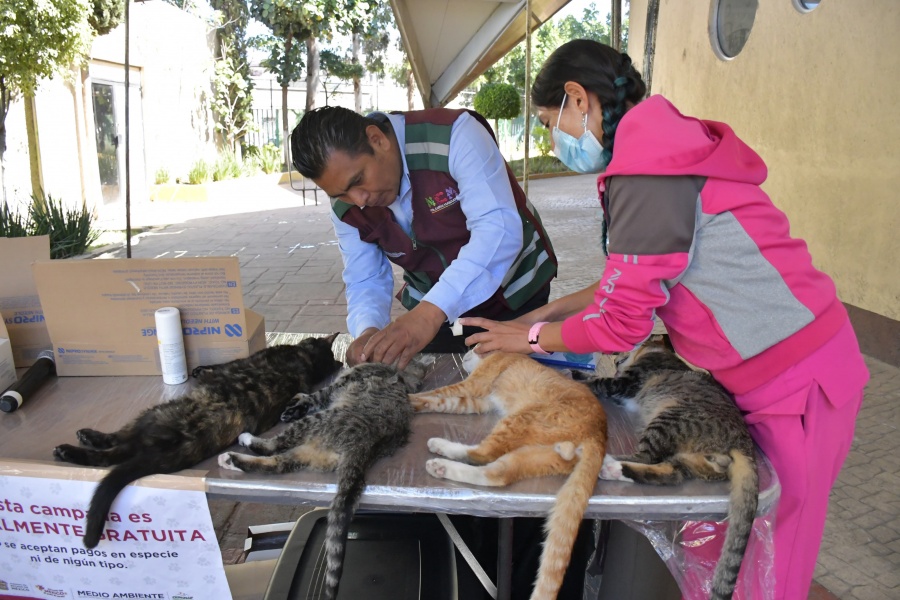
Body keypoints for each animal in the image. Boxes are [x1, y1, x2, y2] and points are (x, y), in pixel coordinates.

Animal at [52, 332, 342, 548]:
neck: (307, 361)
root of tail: (192, 438)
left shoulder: (238, 361)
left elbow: (218, 366)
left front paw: (201, 369)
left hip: (152, 414)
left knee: (116, 448)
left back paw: (78, 445)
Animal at [220, 358, 428, 600]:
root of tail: (366, 448)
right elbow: (306, 396)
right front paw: (295, 402)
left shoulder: (336, 388)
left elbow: (315, 396)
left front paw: (294, 405)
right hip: (310, 450)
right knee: (278, 463)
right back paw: (231, 460)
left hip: (320, 420)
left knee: (274, 446)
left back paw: (245, 441)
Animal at [412, 350, 608, 600]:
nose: (467, 352)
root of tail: (600, 433)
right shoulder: (478, 401)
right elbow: (442, 401)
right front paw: (415, 402)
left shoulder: (472, 385)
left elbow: (438, 392)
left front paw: (408, 398)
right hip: (532, 455)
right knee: (495, 473)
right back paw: (442, 465)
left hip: (518, 421)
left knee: (484, 454)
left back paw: (441, 452)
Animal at [572, 336, 756, 600]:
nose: (614, 356)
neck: (657, 351)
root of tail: (743, 442)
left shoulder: (627, 382)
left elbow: (600, 381)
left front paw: (577, 376)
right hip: (687, 457)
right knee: (670, 474)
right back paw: (614, 469)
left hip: (670, 418)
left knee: (647, 456)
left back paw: (601, 460)